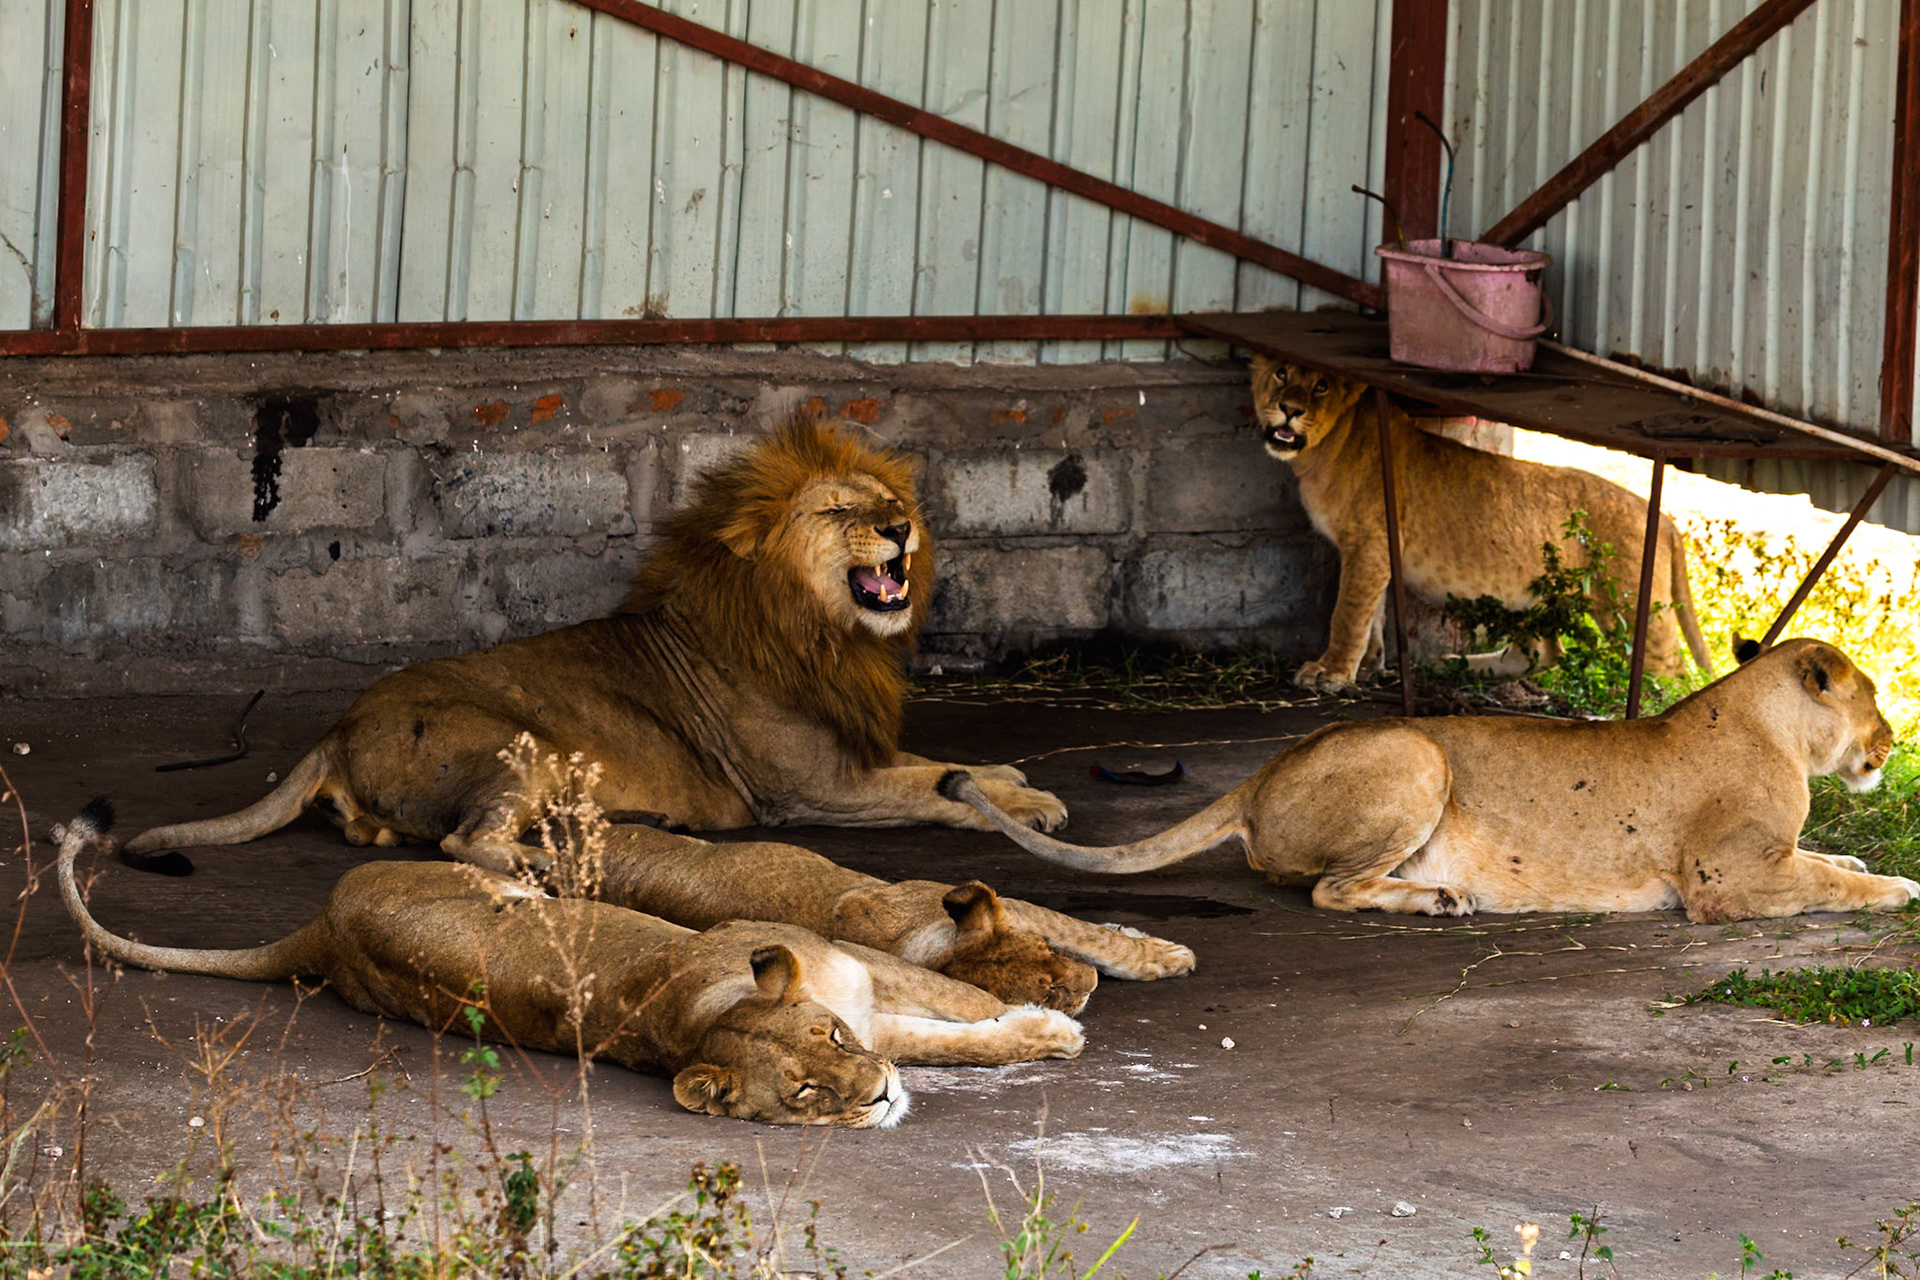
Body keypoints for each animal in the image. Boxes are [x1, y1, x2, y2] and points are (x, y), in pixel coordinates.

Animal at [58, 803, 1083, 1127]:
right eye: (804, 1094)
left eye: (831, 1038)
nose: (875, 1097)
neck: (704, 1014)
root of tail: (321, 926)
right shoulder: (873, 1007)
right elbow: (958, 1038)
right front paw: (1048, 1028)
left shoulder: (864, 982)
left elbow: (956, 1007)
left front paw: (1047, 1007)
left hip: (510, 886)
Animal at [119, 417, 1066, 876]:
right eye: (839, 510)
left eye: (888, 500)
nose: (901, 527)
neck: (819, 631)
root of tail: (336, 730)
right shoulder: (812, 790)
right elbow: (931, 792)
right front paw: (1027, 809)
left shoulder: (850, 748)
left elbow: (944, 765)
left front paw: (1018, 783)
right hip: (517, 747)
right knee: (467, 844)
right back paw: (556, 853)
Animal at [589, 824, 1198, 1014]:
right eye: (1047, 994)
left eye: (1047, 956)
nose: (1090, 985)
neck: (918, 939)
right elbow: (1085, 933)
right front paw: (1163, 955)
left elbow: (1083, 931)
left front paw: (1148, 946)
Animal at [939, 639, 1916, 924]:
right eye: (1872, 694)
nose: (1894, 739)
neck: (1772, 727)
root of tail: (1258, 776)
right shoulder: (1726, 880)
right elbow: (1829, 881)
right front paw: (1903, 887)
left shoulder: (1771, 856)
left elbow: (1830, 862)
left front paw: (1869, 865)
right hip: (1421, 758)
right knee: (1330, 890)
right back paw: (1437, 899)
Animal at [1249, 357, 1712, 690]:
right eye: (1282, 372)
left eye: (1322, 385)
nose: (1289, 410)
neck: (1323, 450)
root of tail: (1665, 520)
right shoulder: (1374, 548)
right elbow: (1372, 614)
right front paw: (1367, 666)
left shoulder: (1369, 542)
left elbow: (1347, 612)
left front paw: (1329, 673)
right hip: (1537, 599)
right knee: (1544, 652)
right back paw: (1459, 666)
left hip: (1629, 606)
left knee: (1672, 672)